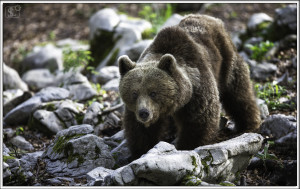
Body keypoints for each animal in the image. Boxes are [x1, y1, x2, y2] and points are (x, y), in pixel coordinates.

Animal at [116, 14, 260, 159]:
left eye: (153, 93)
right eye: (134, 93)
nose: (144, 113)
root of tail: (211, 18)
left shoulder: (197, 91)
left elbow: (199, 121)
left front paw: (186, 146)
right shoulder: (136, 110)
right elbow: (140, 130)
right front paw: (140, 151)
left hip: (226, 60)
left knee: (238, 92)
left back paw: (248, 124)